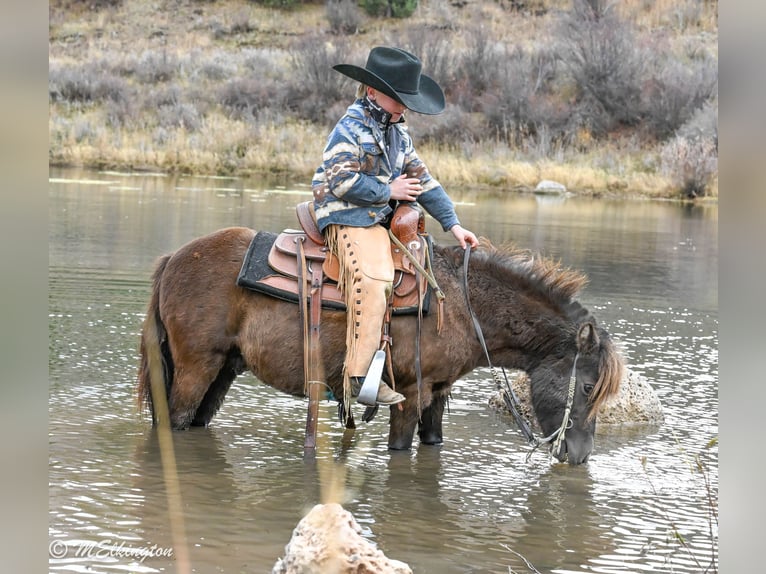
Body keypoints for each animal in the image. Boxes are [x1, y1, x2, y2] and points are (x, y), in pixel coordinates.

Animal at [137, 227, 623, 464]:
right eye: (586, 387)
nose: (580, 456)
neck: (461, 304)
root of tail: (173, 259)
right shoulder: (409, 392)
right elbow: (401, 449)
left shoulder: (437, 393)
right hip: (196, 367)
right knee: (174, 422)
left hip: (223, 371)